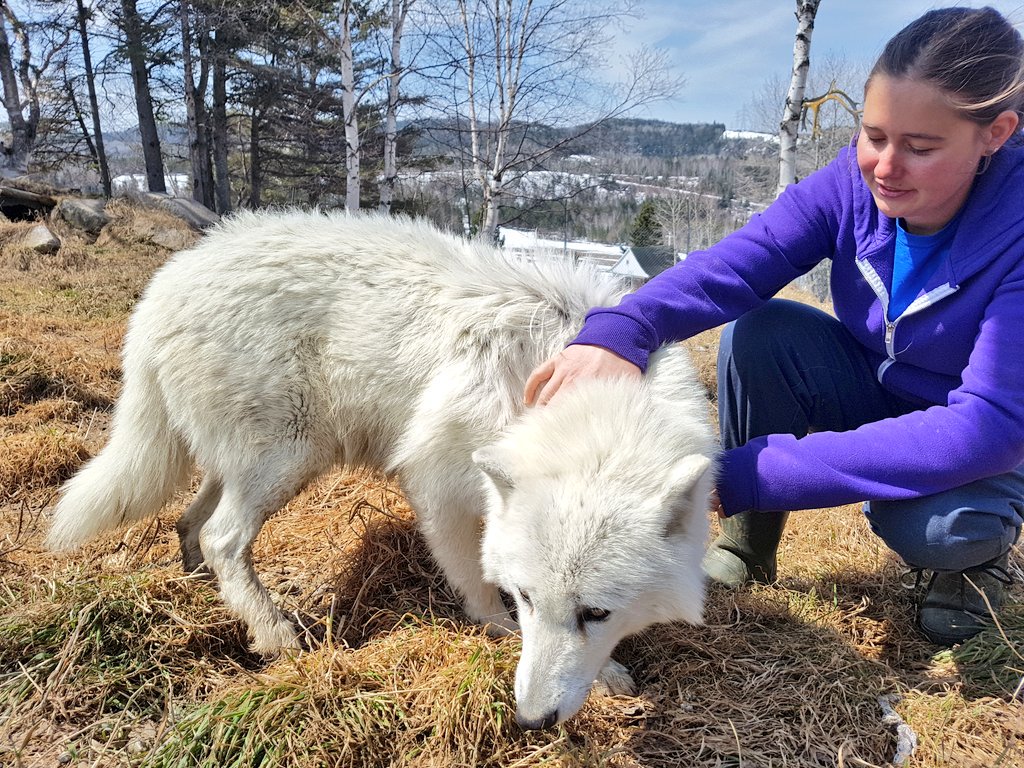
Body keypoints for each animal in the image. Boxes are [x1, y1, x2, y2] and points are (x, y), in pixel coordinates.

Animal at [46, 210, 716, 729]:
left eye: (596, 613)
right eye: (528, 598)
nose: (531, 719)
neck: (580, 403)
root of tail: (159, 291)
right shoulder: (439, 484)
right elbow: (476, 582)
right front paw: (500, 634)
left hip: (248, 466)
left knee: (188, 523)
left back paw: (200, 593)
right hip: (286, 460)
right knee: (221, 537)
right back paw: (275, 634)